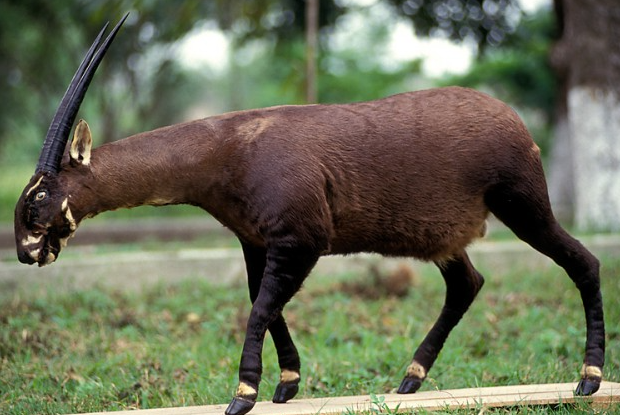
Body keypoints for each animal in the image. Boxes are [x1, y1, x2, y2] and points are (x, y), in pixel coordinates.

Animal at [14, 13, 604, 415]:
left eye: (39, 197)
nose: (25, 253)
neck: (231, 148)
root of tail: (517, 122)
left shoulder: (302, 240)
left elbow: (259, 309)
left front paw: (242, 395)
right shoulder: (257, 241)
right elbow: (264, 304)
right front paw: (286, 384)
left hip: (523, 204)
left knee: (584, 262)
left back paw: (589, 378)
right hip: (447, 237)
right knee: (467, 282)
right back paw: (409, 380)